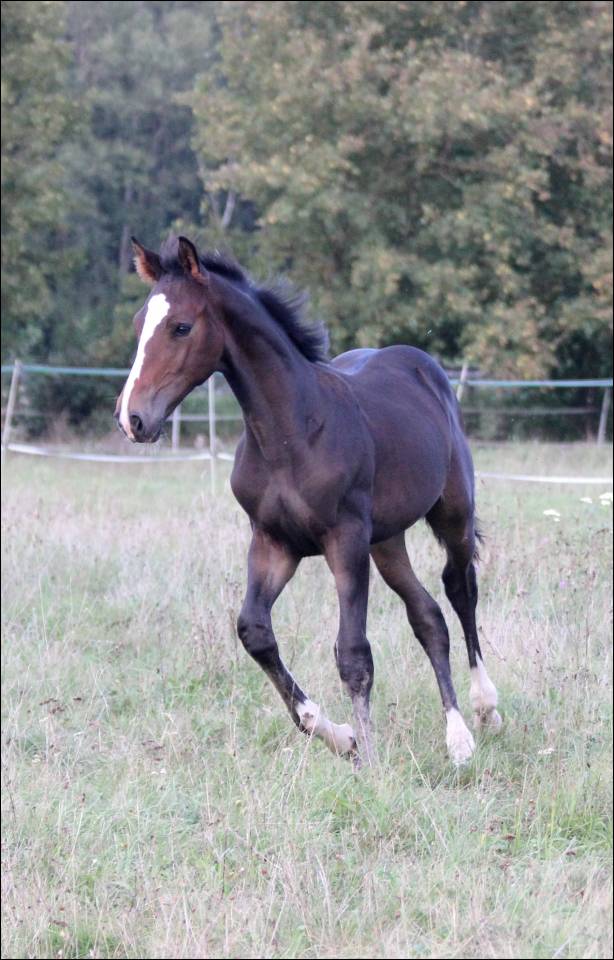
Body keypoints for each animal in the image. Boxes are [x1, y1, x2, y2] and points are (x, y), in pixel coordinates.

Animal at [114, 235, 502, 767]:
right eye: (138, 324)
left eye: (181, 326)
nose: (132, 418)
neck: (291, 433)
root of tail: (425, 367)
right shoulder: (274, 542)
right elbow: (255, 631)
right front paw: (340, 736)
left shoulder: (345, 540)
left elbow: (354, 652)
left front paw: (370, 759)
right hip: (386, 541)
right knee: (428, 616)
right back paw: (457, 735)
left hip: (452, 514)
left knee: (460, 589)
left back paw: (483, 711)